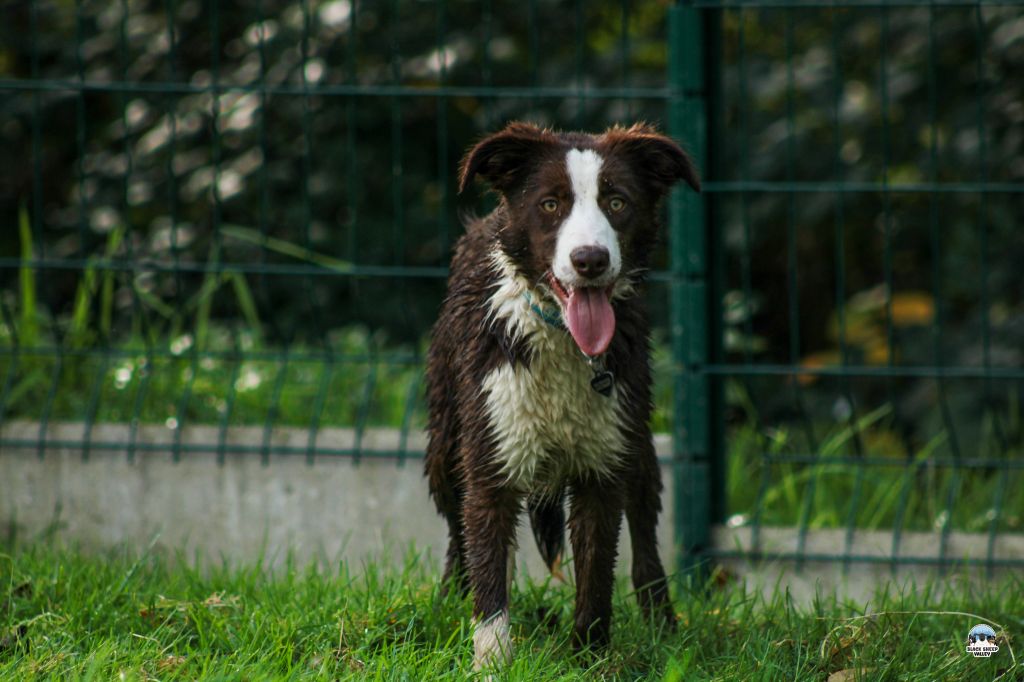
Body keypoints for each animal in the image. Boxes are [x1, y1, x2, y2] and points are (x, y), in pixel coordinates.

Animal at [421, 119, 696, 667]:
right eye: (550, 204)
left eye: (617, 202)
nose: (589, 259)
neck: (563, 337)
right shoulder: (490, 452)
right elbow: (486, 559)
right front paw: (492, 662)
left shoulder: (603, 463)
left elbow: (596, 572)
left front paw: (590, 659)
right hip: (445, 439)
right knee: (460, 532)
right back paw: (450, 600)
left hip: (639, 443)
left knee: (645, 532)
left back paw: (662, 622)